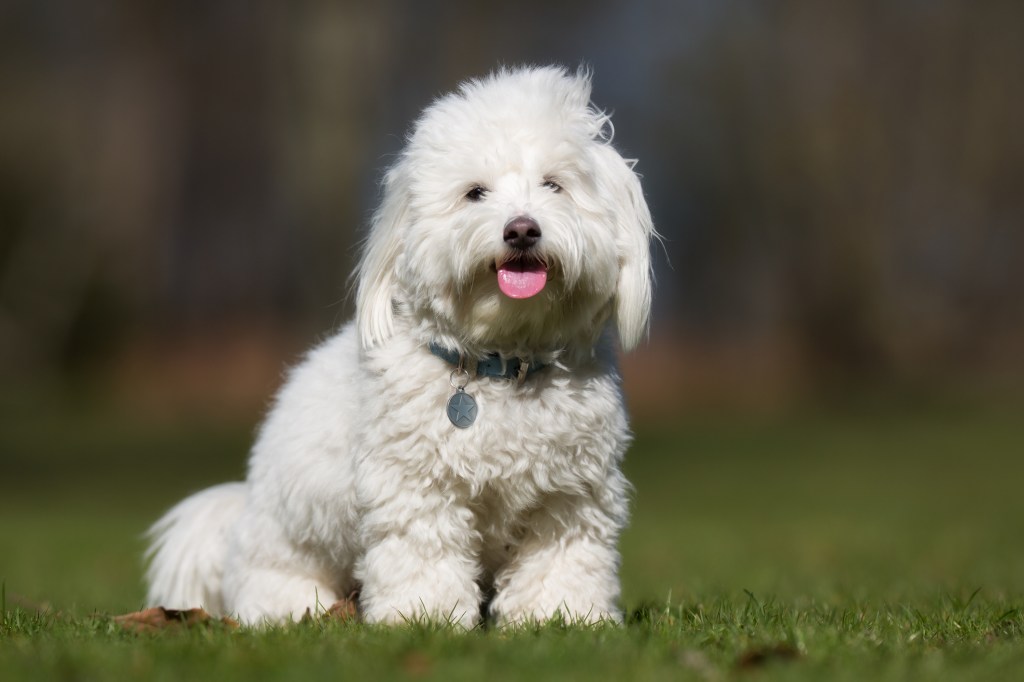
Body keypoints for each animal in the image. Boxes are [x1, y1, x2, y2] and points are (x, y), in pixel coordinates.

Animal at [144, 66, 651, 622]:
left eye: (554, 185)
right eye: (475, 193)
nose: (521, 230)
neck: (503, 362)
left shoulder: (569, 494)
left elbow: (561, 560)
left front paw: (560, 615)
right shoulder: (416, 485)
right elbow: (423, 554)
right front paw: (427, 616)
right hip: (284, 553)